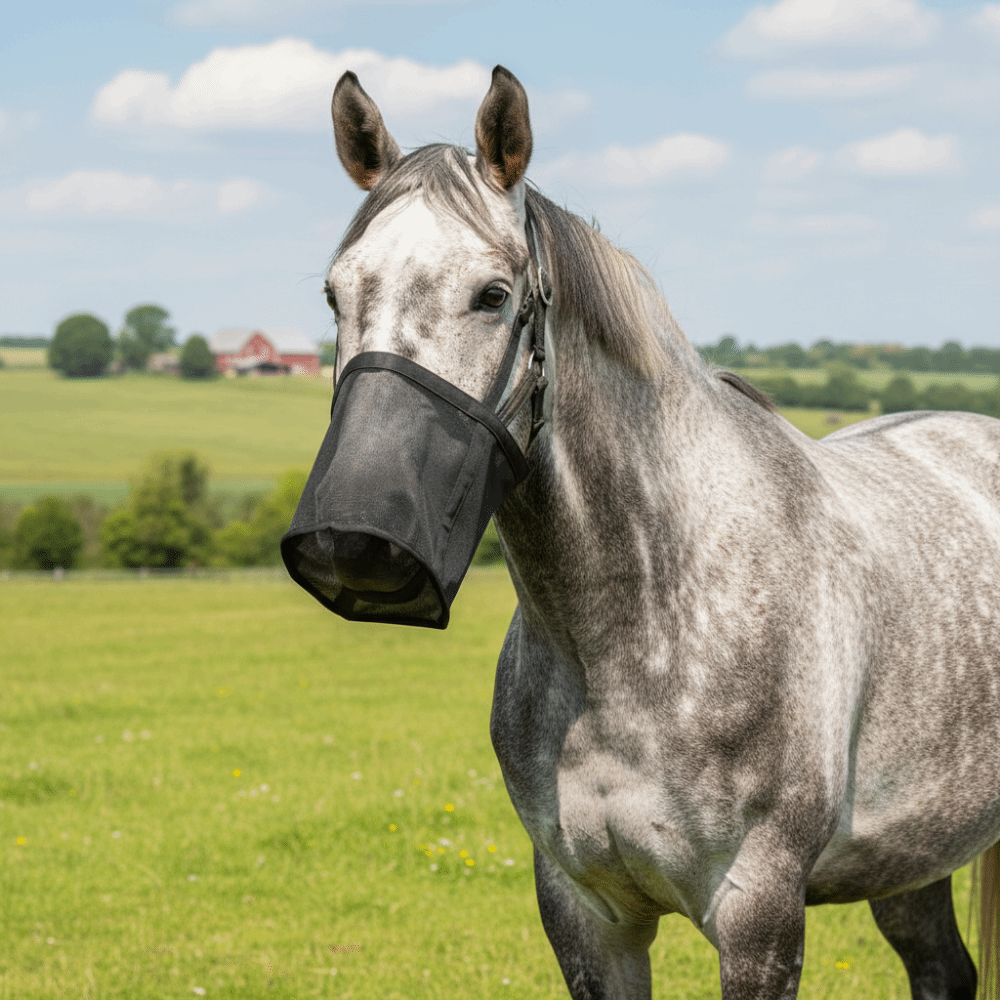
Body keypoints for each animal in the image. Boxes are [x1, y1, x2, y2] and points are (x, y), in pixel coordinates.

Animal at [282, 65, 1000, 999]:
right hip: (911, 861)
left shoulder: (760, 916)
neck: (640, 626)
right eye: (336, 294)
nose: (355, 543)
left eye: (493, 296)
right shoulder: (588, 915)